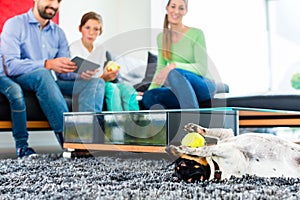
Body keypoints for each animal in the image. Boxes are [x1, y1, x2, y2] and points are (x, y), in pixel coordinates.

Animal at [166, 122, 300, 182]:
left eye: (183, 164)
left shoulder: (225, 139)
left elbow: (205, 142)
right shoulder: (226, 145)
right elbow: (204, 147)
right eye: (191, 180)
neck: (217, 167)